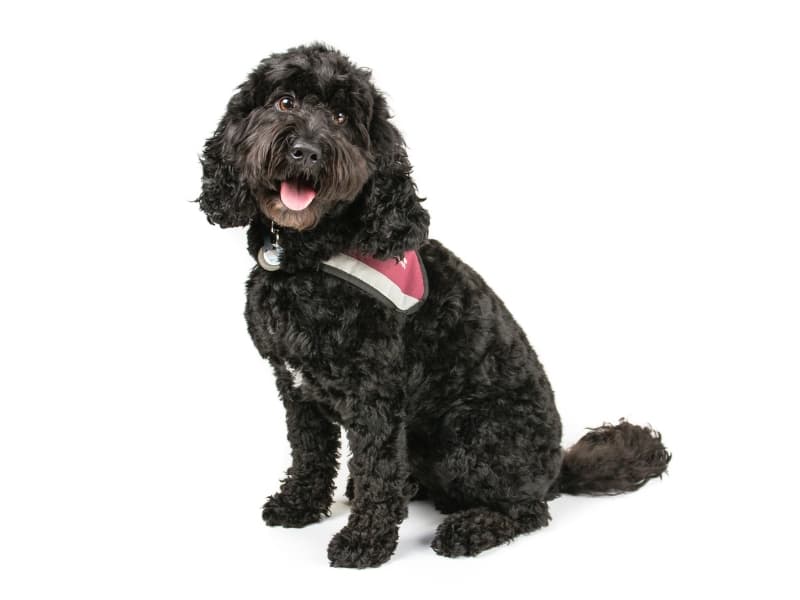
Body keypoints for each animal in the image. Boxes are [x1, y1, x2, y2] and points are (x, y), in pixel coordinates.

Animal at [197, 44, 672, 568]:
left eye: (342, 117)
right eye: (285, 102)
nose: (307, 150)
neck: (311, 256)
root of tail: (554, 470)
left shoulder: (376, 394)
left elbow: (378, 471)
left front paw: (364, 541)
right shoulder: (295, 386)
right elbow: (309, 452)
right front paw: (300, 503)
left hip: (470, 433)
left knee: (528, 509)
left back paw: (471, 528)